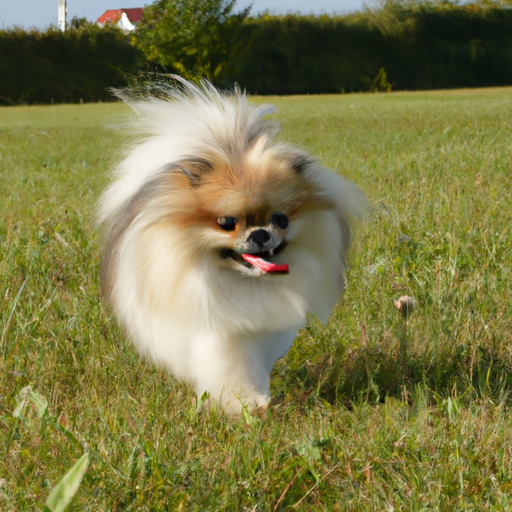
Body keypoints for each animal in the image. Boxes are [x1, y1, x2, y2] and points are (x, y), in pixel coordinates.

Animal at [97, 78, 368, 414]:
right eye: (227, 222)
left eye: (281, 219)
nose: (261, 234)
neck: (244, 282)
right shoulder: (216, 331)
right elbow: (230, 366)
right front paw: (242, 404)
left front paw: (253, 399)